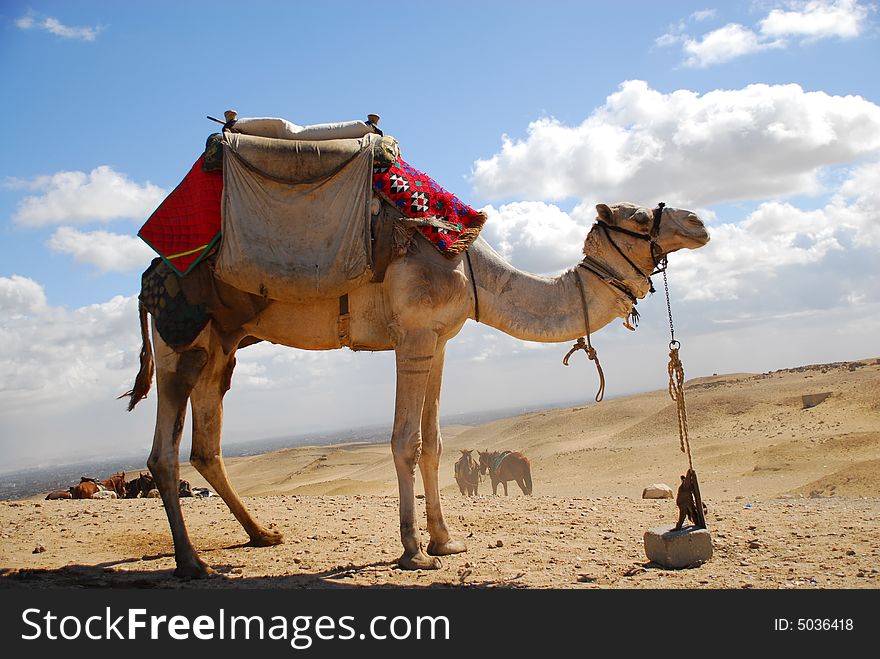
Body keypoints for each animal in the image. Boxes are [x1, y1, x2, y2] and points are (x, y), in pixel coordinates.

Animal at [122, 201, 708, 576]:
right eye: (638, 216)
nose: (700, 222)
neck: (472, 273)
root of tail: (148, 279)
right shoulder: (414, 334)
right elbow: (405, 441)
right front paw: (412, 551)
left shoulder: (440, 341)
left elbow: (435, 444)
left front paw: (445, 541)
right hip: (181, 341)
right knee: (162, 453)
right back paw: (191, 562)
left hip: (221, 345)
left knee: (207, 446)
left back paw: (262, 535)